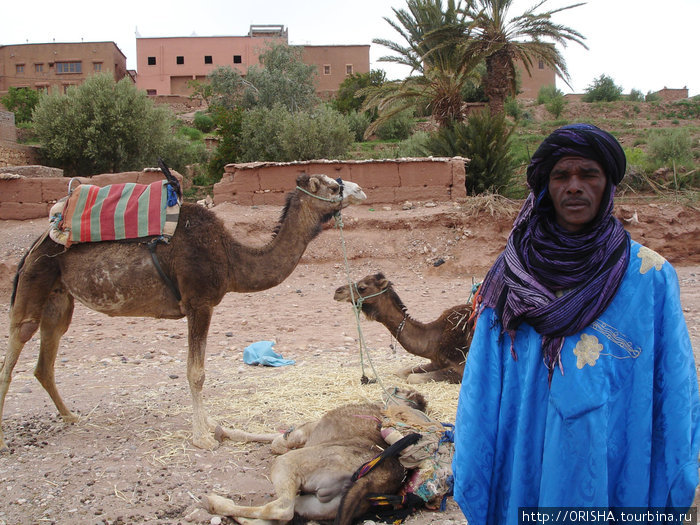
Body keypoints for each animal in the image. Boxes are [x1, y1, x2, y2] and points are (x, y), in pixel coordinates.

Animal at [1, 173, 366, 450]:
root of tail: (34, 245)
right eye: (331, 186)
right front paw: (202, 437)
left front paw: (209, 425)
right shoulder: (199, 302)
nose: (360, 190)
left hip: (59, 298)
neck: (231, 258)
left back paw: (71, 417)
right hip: (35, 280)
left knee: (45, 361)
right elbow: (196, 373)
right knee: (17, 342)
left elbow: (198, 372)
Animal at [202, 386, 430, 520]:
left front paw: (220, 431)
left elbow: (278, 441)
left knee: (283, 509)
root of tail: (371, 479)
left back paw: (213, 502)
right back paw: (218, 504)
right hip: (324, 505)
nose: (389, 388)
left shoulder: (306, 431)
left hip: (293, 464)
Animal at [334, 272, 476, 382]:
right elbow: (402, 372)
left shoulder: (461, 366)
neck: (437, 335)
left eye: (362, 287)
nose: (337, 291)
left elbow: (412, 378)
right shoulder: (436, 361)